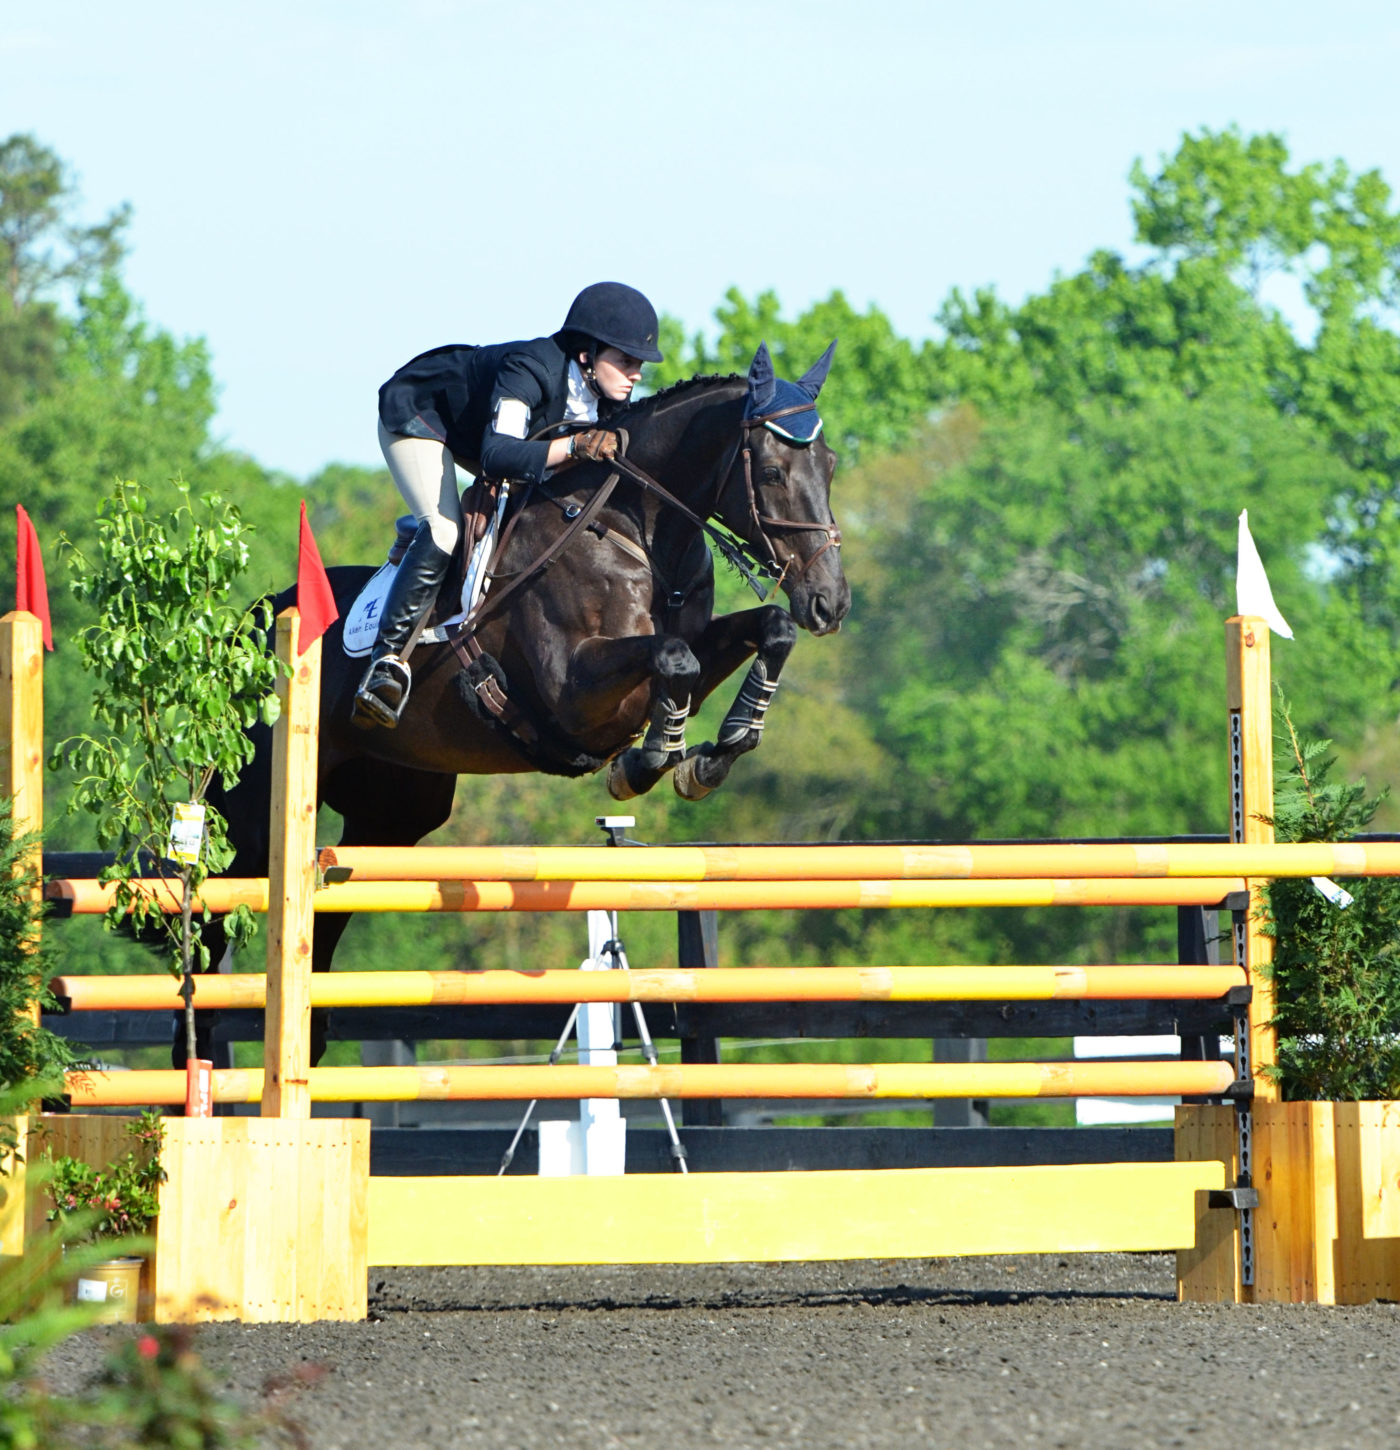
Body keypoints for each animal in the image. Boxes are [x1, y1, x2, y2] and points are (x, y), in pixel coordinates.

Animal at [194, 339, 852, 1067]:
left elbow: (765, 630)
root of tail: (246, 628)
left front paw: (715, 752)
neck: (633, 530)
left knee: (324, 922)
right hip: (252, 822)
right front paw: (648, 762)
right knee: (207, 928)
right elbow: (671, 660)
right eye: (770, 469)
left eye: (829, 465)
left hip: (391, 816)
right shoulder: (572, 692)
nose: (830, 601)